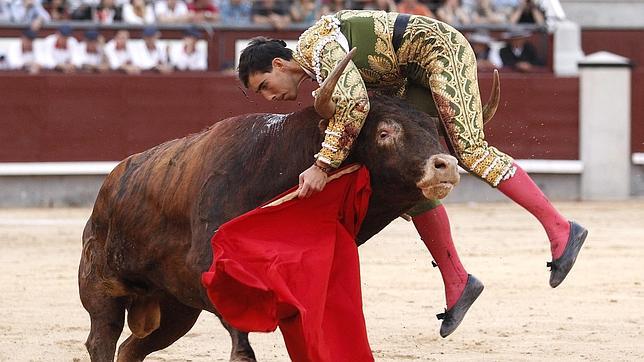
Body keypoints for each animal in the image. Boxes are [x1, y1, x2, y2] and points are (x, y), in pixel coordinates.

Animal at [79, 53, 504, 360]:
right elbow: (242, 347)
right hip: (101, 285)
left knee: (132, 349)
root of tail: (110, 183)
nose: (445, 165)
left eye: (435, 132)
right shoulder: (216, 278)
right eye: (385, 132)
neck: (274, 164)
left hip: (174, 310)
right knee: (102, 339)